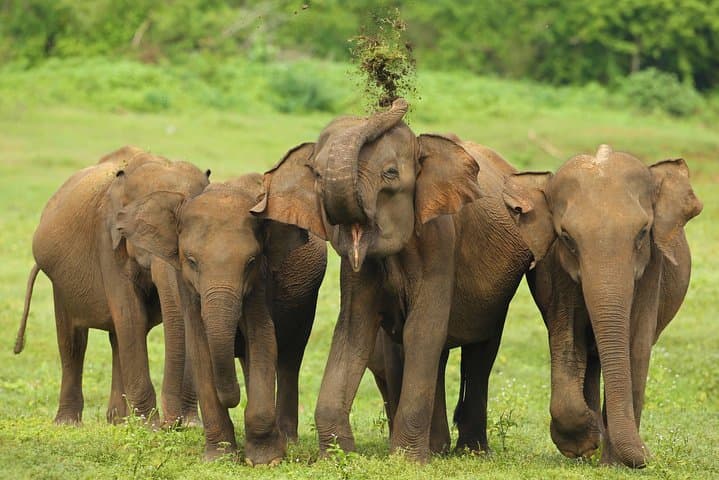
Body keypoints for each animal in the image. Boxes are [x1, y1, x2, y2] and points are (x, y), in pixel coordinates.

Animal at [14, 146, 208, 425]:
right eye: (141, 232)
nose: (173, 423)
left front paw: (190, 426)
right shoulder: (107, 240)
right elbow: (131, 315)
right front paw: (151, 427)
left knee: (117, 338)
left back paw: (118, 421)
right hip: (61, 283)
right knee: (73, 341)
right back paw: (69, 423)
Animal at [113, 172, 327, 465]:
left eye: (251, 261)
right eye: (192, 261)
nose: (233, 398)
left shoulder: (261, 281)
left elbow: (263, 339)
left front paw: (265, 461)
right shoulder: (187, 286)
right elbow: (201, 348)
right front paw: (220, 458)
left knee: (289, 359)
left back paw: (286, 440)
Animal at [253, 98, 534, 462]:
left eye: (390, 174)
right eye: (316, 174)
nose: (394, 101)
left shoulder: (440, 241)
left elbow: (423, 329)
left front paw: (407, 460)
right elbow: (354, 330)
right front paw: (340, 456)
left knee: (479, 354)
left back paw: (469, 452)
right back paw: (438, 447)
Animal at [502, 144, 703, 467]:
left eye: (643, 233)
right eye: (567, 237)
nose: (649, 455)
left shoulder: (651, 270)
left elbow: (636, 348)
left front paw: (615, 463)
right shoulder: (557, 270)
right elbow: (567, 340)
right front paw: (584, 442)